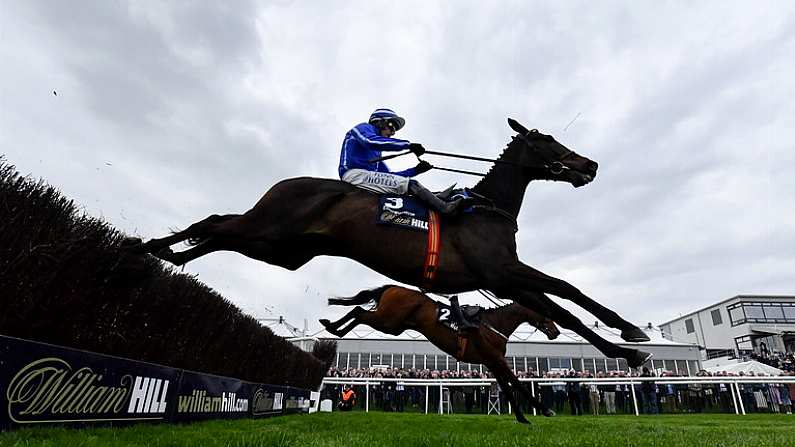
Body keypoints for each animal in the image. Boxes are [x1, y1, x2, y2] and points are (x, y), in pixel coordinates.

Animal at [135, 118, 652, 368]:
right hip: (269, 228)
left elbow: (562, 306)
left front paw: (626, 346)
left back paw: (171, 253)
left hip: (281, 251)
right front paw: (630, 334)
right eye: (546, 140)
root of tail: (285, 184)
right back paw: (147, 246)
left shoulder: (506, 280)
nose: (589, 165)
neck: (485, 209)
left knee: (217, 233)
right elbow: (566, 291)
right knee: (216, 222)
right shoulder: (502, 271)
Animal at [318, 286, 560, 426]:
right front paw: (545, 410)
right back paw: (331, 327)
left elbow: (509, 389)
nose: (556, 331)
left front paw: (522, 417)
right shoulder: (496, 360)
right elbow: (517, 384)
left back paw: (332, 327)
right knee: (359, 312)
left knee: (359, 312)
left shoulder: (491, 362)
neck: (493, 325)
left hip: (393, 325)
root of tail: (393, 287)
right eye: (546, 311)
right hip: (387, 320)